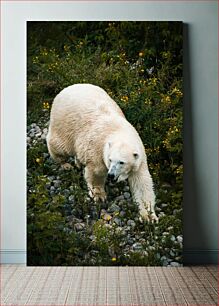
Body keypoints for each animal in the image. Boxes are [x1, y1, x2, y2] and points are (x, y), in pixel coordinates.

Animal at [47, 83, 158, 222]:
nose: (111, 175)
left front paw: (149, 216)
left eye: (121, 162)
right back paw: (64, 163)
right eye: (110, 160)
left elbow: (142, 184)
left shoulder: (140, 158)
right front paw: (99, 196)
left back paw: (78, 162)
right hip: (65, 122)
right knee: (59, 145)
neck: (119, 132)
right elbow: (96, 173)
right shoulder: (97, 150)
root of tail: (68, 87)